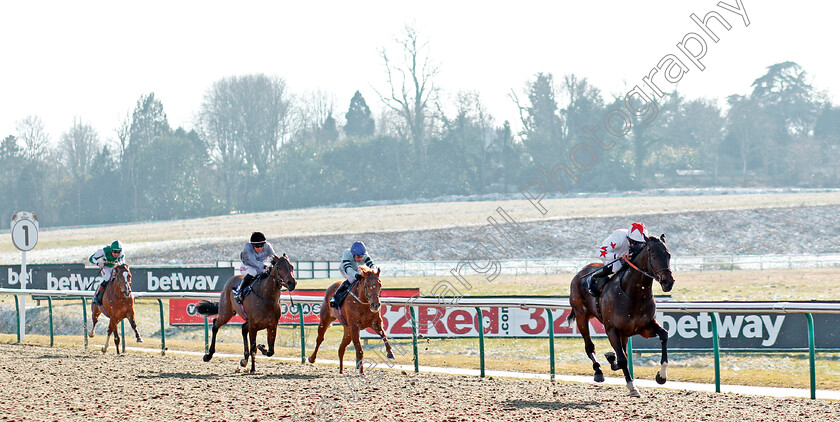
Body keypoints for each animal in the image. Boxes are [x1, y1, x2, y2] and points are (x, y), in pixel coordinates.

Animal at [564, 234, 676, 396]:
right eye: (653, 256)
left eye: (668, 255)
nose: (668, 282)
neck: (633, 294)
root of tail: (580, 273)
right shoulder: (612, 330)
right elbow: (622, 359)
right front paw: (632, 386)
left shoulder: (645, 328)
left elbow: (664, 335)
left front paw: (661, 376)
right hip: (581, 316)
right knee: (589, 346)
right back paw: (598, 371)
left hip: (625, 333)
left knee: (622, 352)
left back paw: (611, 359)